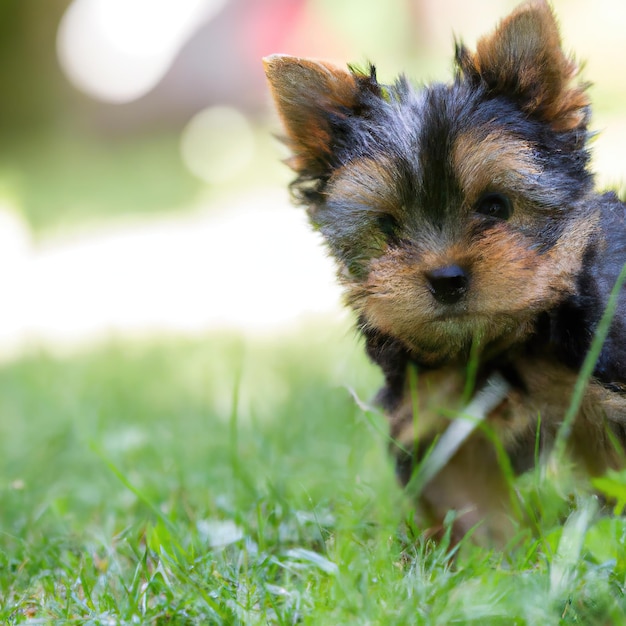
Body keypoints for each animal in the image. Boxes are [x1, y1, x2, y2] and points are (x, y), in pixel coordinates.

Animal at [260, 0, 624, 540]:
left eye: (496, 207)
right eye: (388, 227)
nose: (446, 279)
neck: (498, 343)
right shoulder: (436, 415)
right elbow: (470, 498)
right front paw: (490, 556)